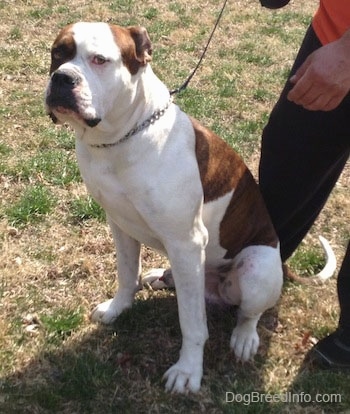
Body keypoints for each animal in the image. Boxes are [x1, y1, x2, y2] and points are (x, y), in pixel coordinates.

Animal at [45, 21, 284, 392]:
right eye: (58, 53)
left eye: (99, 60)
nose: (62, 77)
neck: (119, 140)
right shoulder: (119, 224)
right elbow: (126, 273)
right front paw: (117, 309)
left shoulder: (186, 242)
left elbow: (192, 323)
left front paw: (188, 371)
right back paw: (160, 275)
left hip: (258, 267)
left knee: (248, 312)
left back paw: (244, 338)